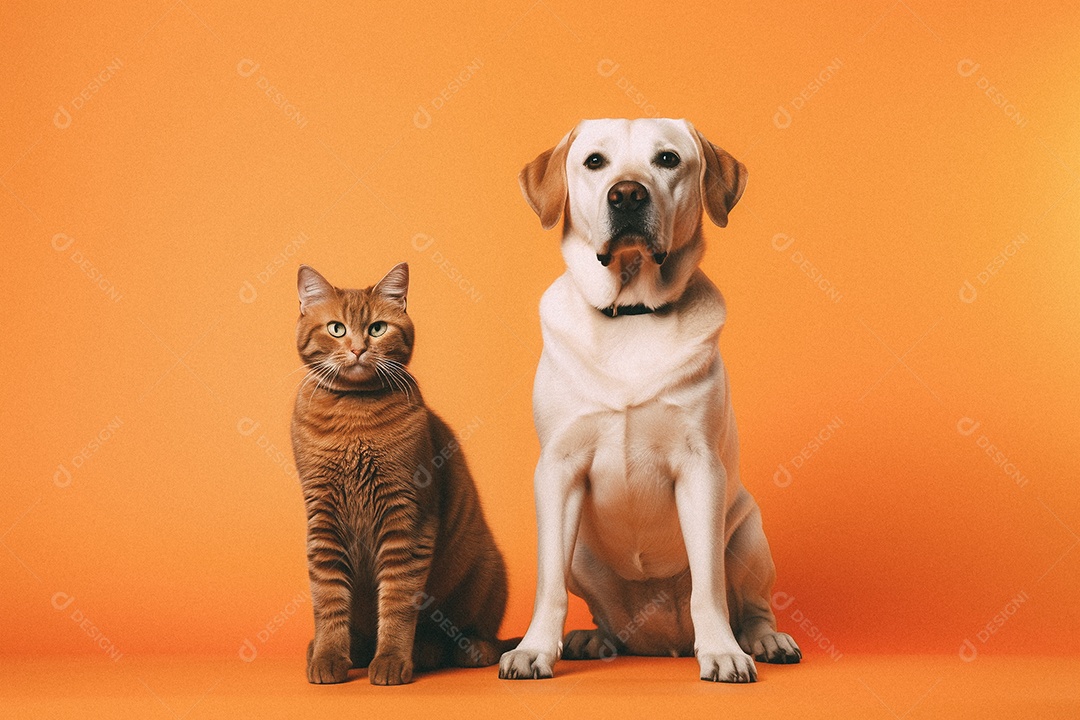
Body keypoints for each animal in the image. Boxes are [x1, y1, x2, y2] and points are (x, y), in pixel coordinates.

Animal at [291, 264, 509, 686]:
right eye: (336, 329)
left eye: (377, 328)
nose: (358, 348)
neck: (353, 418)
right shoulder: (323, 518)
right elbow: (327, 598)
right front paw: (328, 657)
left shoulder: (406, 518)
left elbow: (397, 600)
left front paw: (391, 660)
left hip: (486, 570)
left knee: (480, 638)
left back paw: (446, 650)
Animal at [501, 119, 799, 686]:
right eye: (595, 162)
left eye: (667, 159)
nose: (627, 194)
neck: (632, 312)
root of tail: (663, 641)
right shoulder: (558, 469)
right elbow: (548, 585)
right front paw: (535, 649)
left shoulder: (701, 469)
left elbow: (709, 587)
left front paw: (722, 651)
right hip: (584, 554)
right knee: (604, 616)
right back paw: (592, 638)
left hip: (749, 534)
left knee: (751, 604)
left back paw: (763, 639)